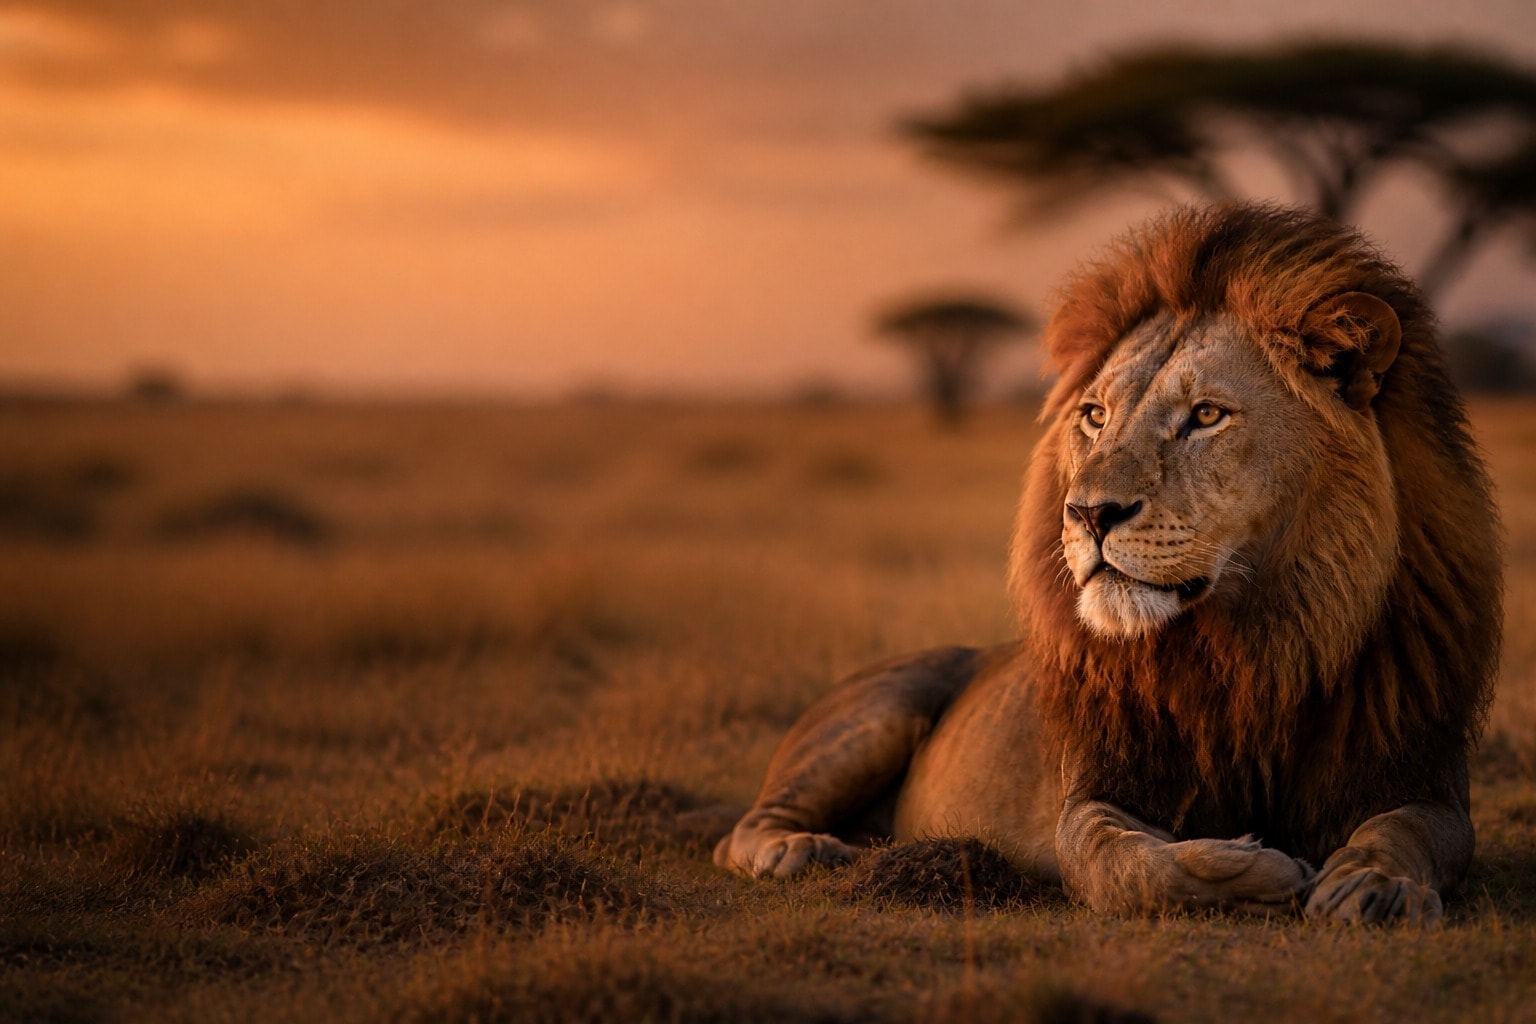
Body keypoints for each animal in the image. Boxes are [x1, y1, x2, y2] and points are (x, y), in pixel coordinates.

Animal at [714, 202, 1501, 924]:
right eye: (1095, 416)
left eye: (1206, 416)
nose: (1089, 514)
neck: (1252, 648)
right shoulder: (1096, 788)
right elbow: (1124, 867)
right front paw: (1249, 868)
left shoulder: (1422, 777)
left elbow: (1408, 835)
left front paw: (1374, 885)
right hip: (878, 711)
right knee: (739, 832)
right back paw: (800, 849)